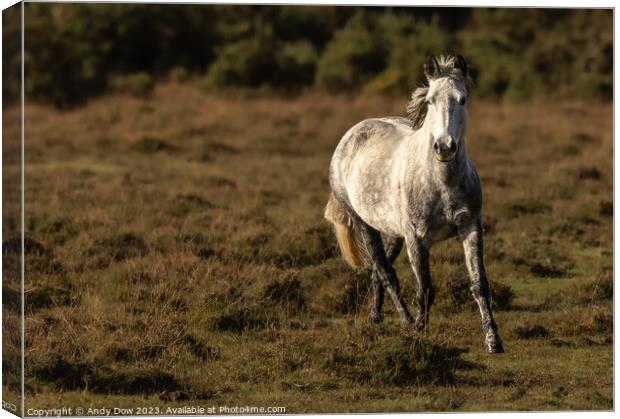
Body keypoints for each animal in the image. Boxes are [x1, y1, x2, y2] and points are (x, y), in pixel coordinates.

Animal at [324, 54, 504, 352]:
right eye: (430, 100)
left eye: (462, 99)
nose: (444, 147)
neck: (441, 181)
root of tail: (352, 134)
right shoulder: (417, 239)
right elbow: (425, 289)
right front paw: (420, 331)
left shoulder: (471, 228)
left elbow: (480, 284)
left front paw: (494, 341)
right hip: (365, 225)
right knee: (385, 272)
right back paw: (406, 321)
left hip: (392, 232)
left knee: (378, 272)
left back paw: (376, 317)